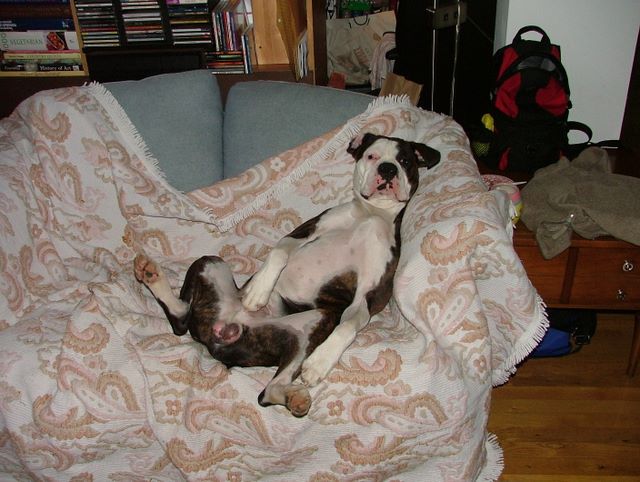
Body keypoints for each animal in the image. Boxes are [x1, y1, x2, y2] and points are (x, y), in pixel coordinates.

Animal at [134, 133, 440, 416]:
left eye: (405, 161)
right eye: (372, 156)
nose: (388, 169)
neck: (371, 214)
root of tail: (223, 333)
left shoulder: (369, 294)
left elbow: (349, 325)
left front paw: (320, 362)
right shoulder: (304, 231)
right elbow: (279, 251)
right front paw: (257, 291)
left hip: (312, 324)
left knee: (266, 392)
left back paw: (295, 396)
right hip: (211, 263)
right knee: (180, 319)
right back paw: (152, 275)